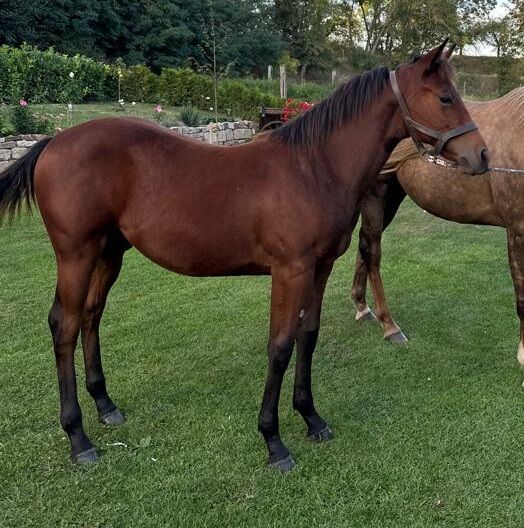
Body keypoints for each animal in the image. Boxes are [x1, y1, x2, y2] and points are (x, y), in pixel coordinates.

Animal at [2, 42, 490, 470]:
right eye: (446, 97)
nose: (482, 156)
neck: (314, 167)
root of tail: (53, 143)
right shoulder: (290, 272)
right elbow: (279, 346)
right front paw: (274, 441)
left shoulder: (320, 268)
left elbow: (308, 336)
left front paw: (311, 418)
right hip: (76, 255)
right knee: (64, 325)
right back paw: (78, 438)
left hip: (109, 254)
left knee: (91, 316)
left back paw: (105, 406)